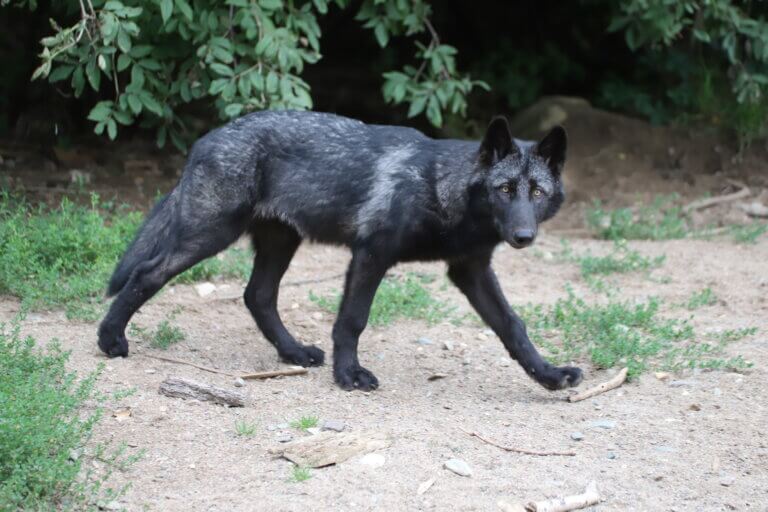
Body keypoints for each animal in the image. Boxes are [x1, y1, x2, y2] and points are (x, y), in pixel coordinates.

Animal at [99, 110, 583, 392]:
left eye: (537, 192)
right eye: (505, 189)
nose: (523, 236)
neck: (444, 191)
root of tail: (207, 139)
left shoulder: (470, 270)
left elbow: (513, 326)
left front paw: (549, 375)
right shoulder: (371, 254)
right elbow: (352, 320)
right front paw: (348, 375)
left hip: (280, 242)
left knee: (257, 296)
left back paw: (293, 353)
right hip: (209, 235)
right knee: (147, 273)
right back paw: (110, 339)